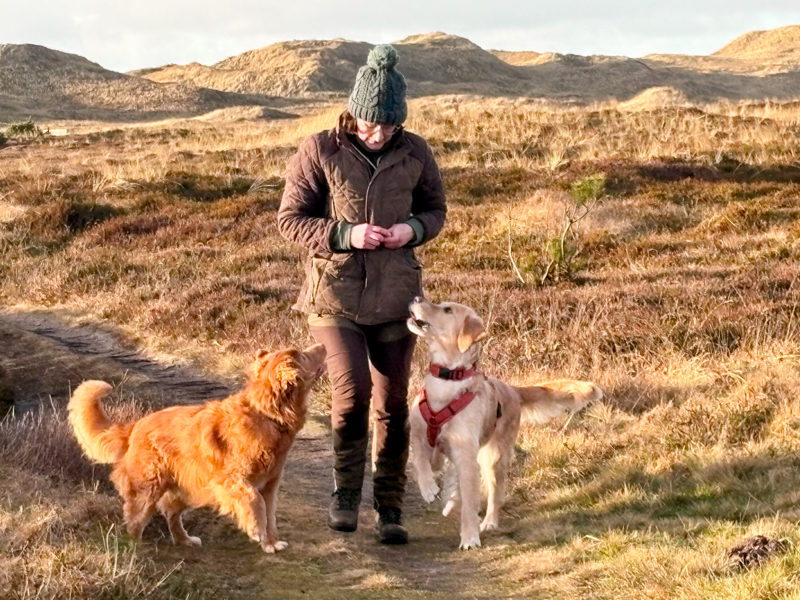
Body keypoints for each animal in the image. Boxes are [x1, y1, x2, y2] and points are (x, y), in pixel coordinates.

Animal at [68, 343, 326, 553]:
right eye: (303, 355)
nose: (323, 345)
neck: (267, 414)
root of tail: (135, 426)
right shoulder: (232, 480)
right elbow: (255, 503)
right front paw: (256, 531)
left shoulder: (270, 485)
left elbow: (269, 514)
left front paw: (270, 542)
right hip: (150, 488)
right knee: (135, 519)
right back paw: (135, 546)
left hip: (189, 488)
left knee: (171, 514)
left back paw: (185, 540)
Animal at [407, 298, 602, 549]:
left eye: (447, 310)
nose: (416, 299)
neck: (447, 380)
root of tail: (512, 389)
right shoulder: (423, 436)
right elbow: (420, 458)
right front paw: (428, 486)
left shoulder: (466, 453)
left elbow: (470, 503)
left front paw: (470, 537)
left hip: (493, 457)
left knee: (494, 494)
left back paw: (488, 521)